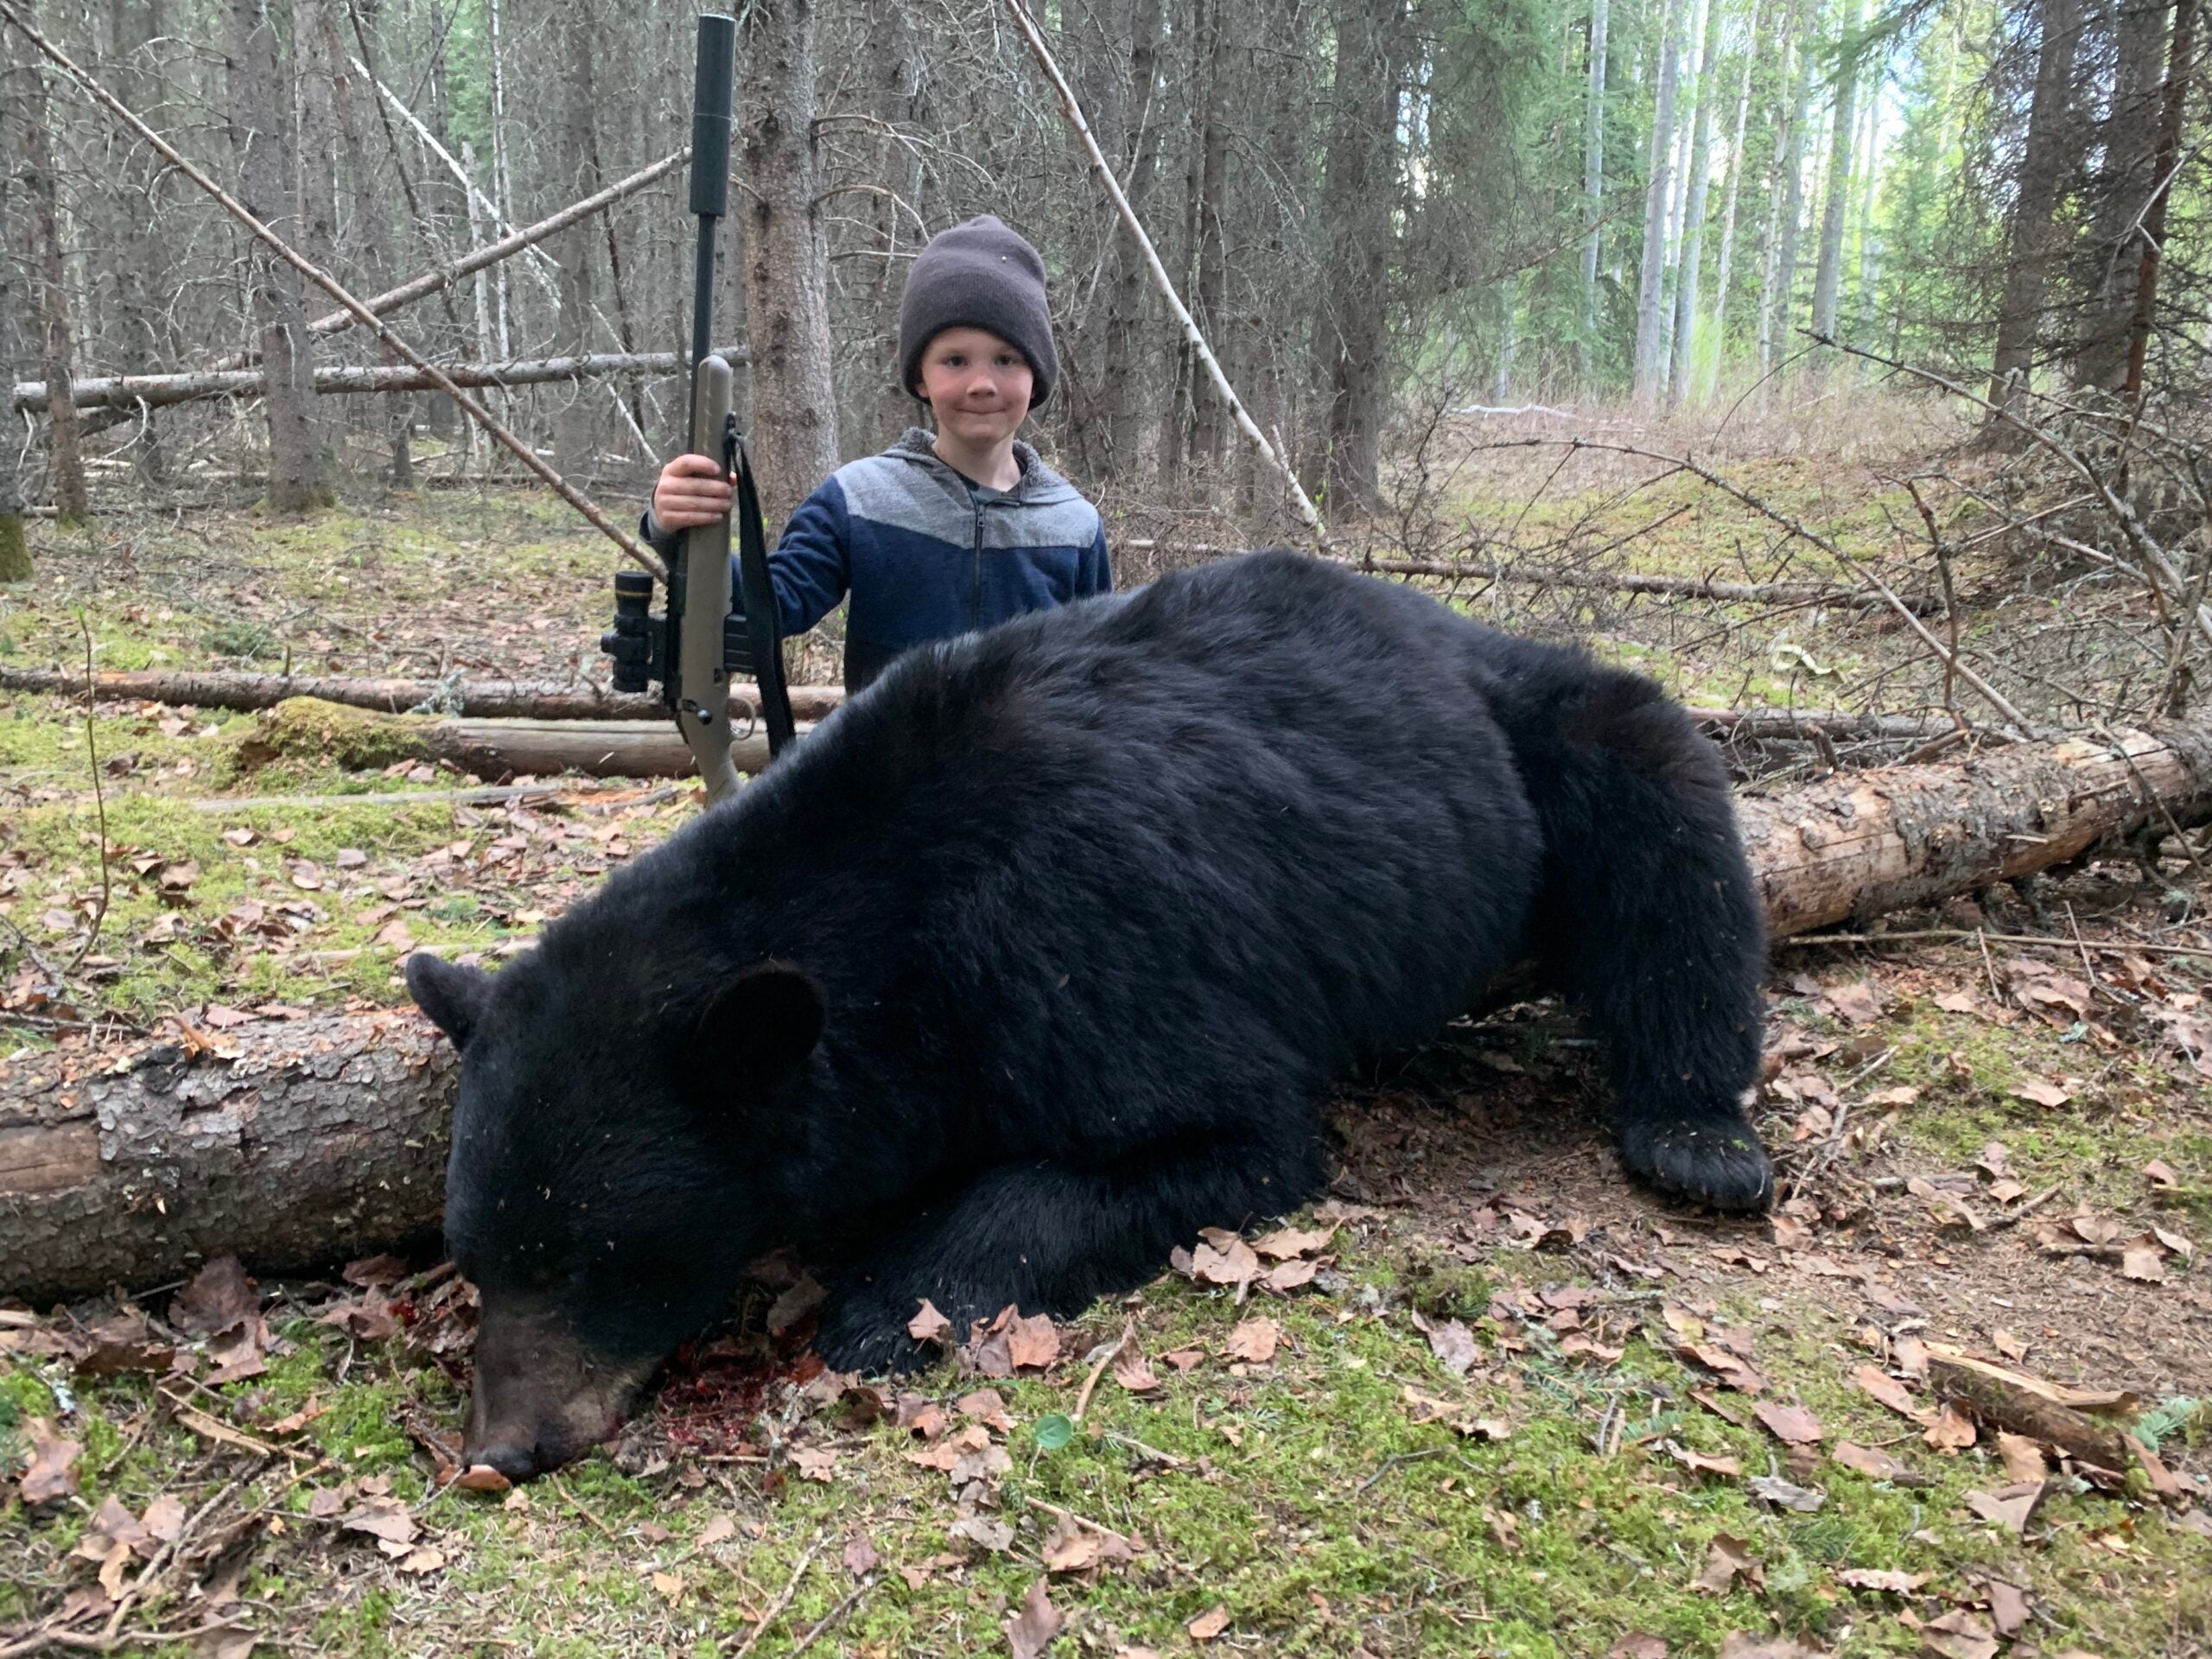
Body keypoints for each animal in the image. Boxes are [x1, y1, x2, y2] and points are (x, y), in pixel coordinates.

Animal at [406, 550, 1770, 1479]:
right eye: (477, 1255)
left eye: (593, 1259)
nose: (501, 1448)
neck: (896, 917)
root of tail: (1447, 625)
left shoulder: (1085, 945)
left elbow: (1204, 1139)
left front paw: (881, 1306)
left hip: (1550, 735)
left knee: (1664, 818)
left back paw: (1699, 1135)